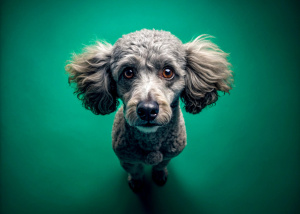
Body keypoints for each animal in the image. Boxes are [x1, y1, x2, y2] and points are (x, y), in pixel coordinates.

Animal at [65, 28, 233, 192]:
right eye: (128, 72)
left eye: (168, 71)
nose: (147, 110)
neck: (151, 143)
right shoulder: (127, 160)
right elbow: (136, 171)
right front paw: (136, 182)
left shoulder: (168, 156)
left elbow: (160, 166)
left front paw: (159, 175)